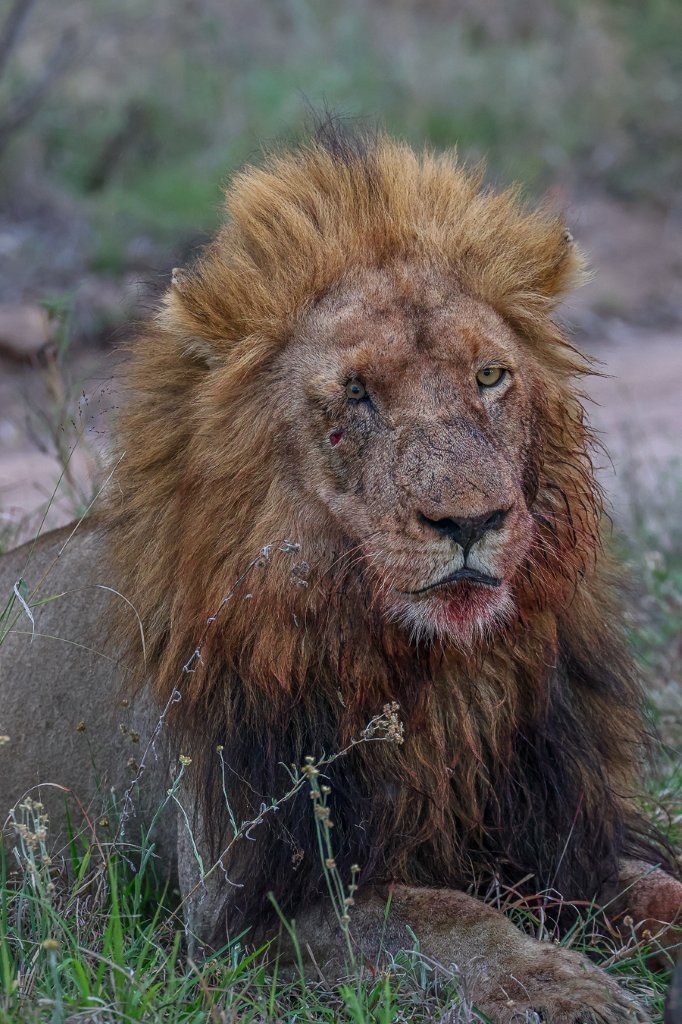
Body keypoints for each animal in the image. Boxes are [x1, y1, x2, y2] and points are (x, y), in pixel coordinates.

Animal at [1, 128, 680, 1022]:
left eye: (490, 376)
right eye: (357, 393)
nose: (471, 520)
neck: (442, 679)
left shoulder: (570, 845)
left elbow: (659, 888)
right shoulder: (243, 914)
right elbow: (448, 915)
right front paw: (561, 986)